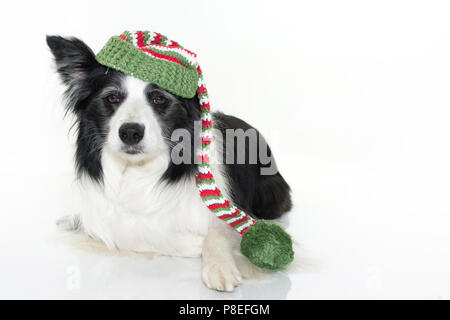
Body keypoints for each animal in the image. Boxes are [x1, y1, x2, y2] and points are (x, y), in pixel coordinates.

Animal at [45, 35, 292, 292]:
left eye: (159, 98)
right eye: (112, 98)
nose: (130, 132)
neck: (139, 171)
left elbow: (219, 231)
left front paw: (219, 266)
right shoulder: (107, 221)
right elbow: (133, 234)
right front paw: (193, 244)